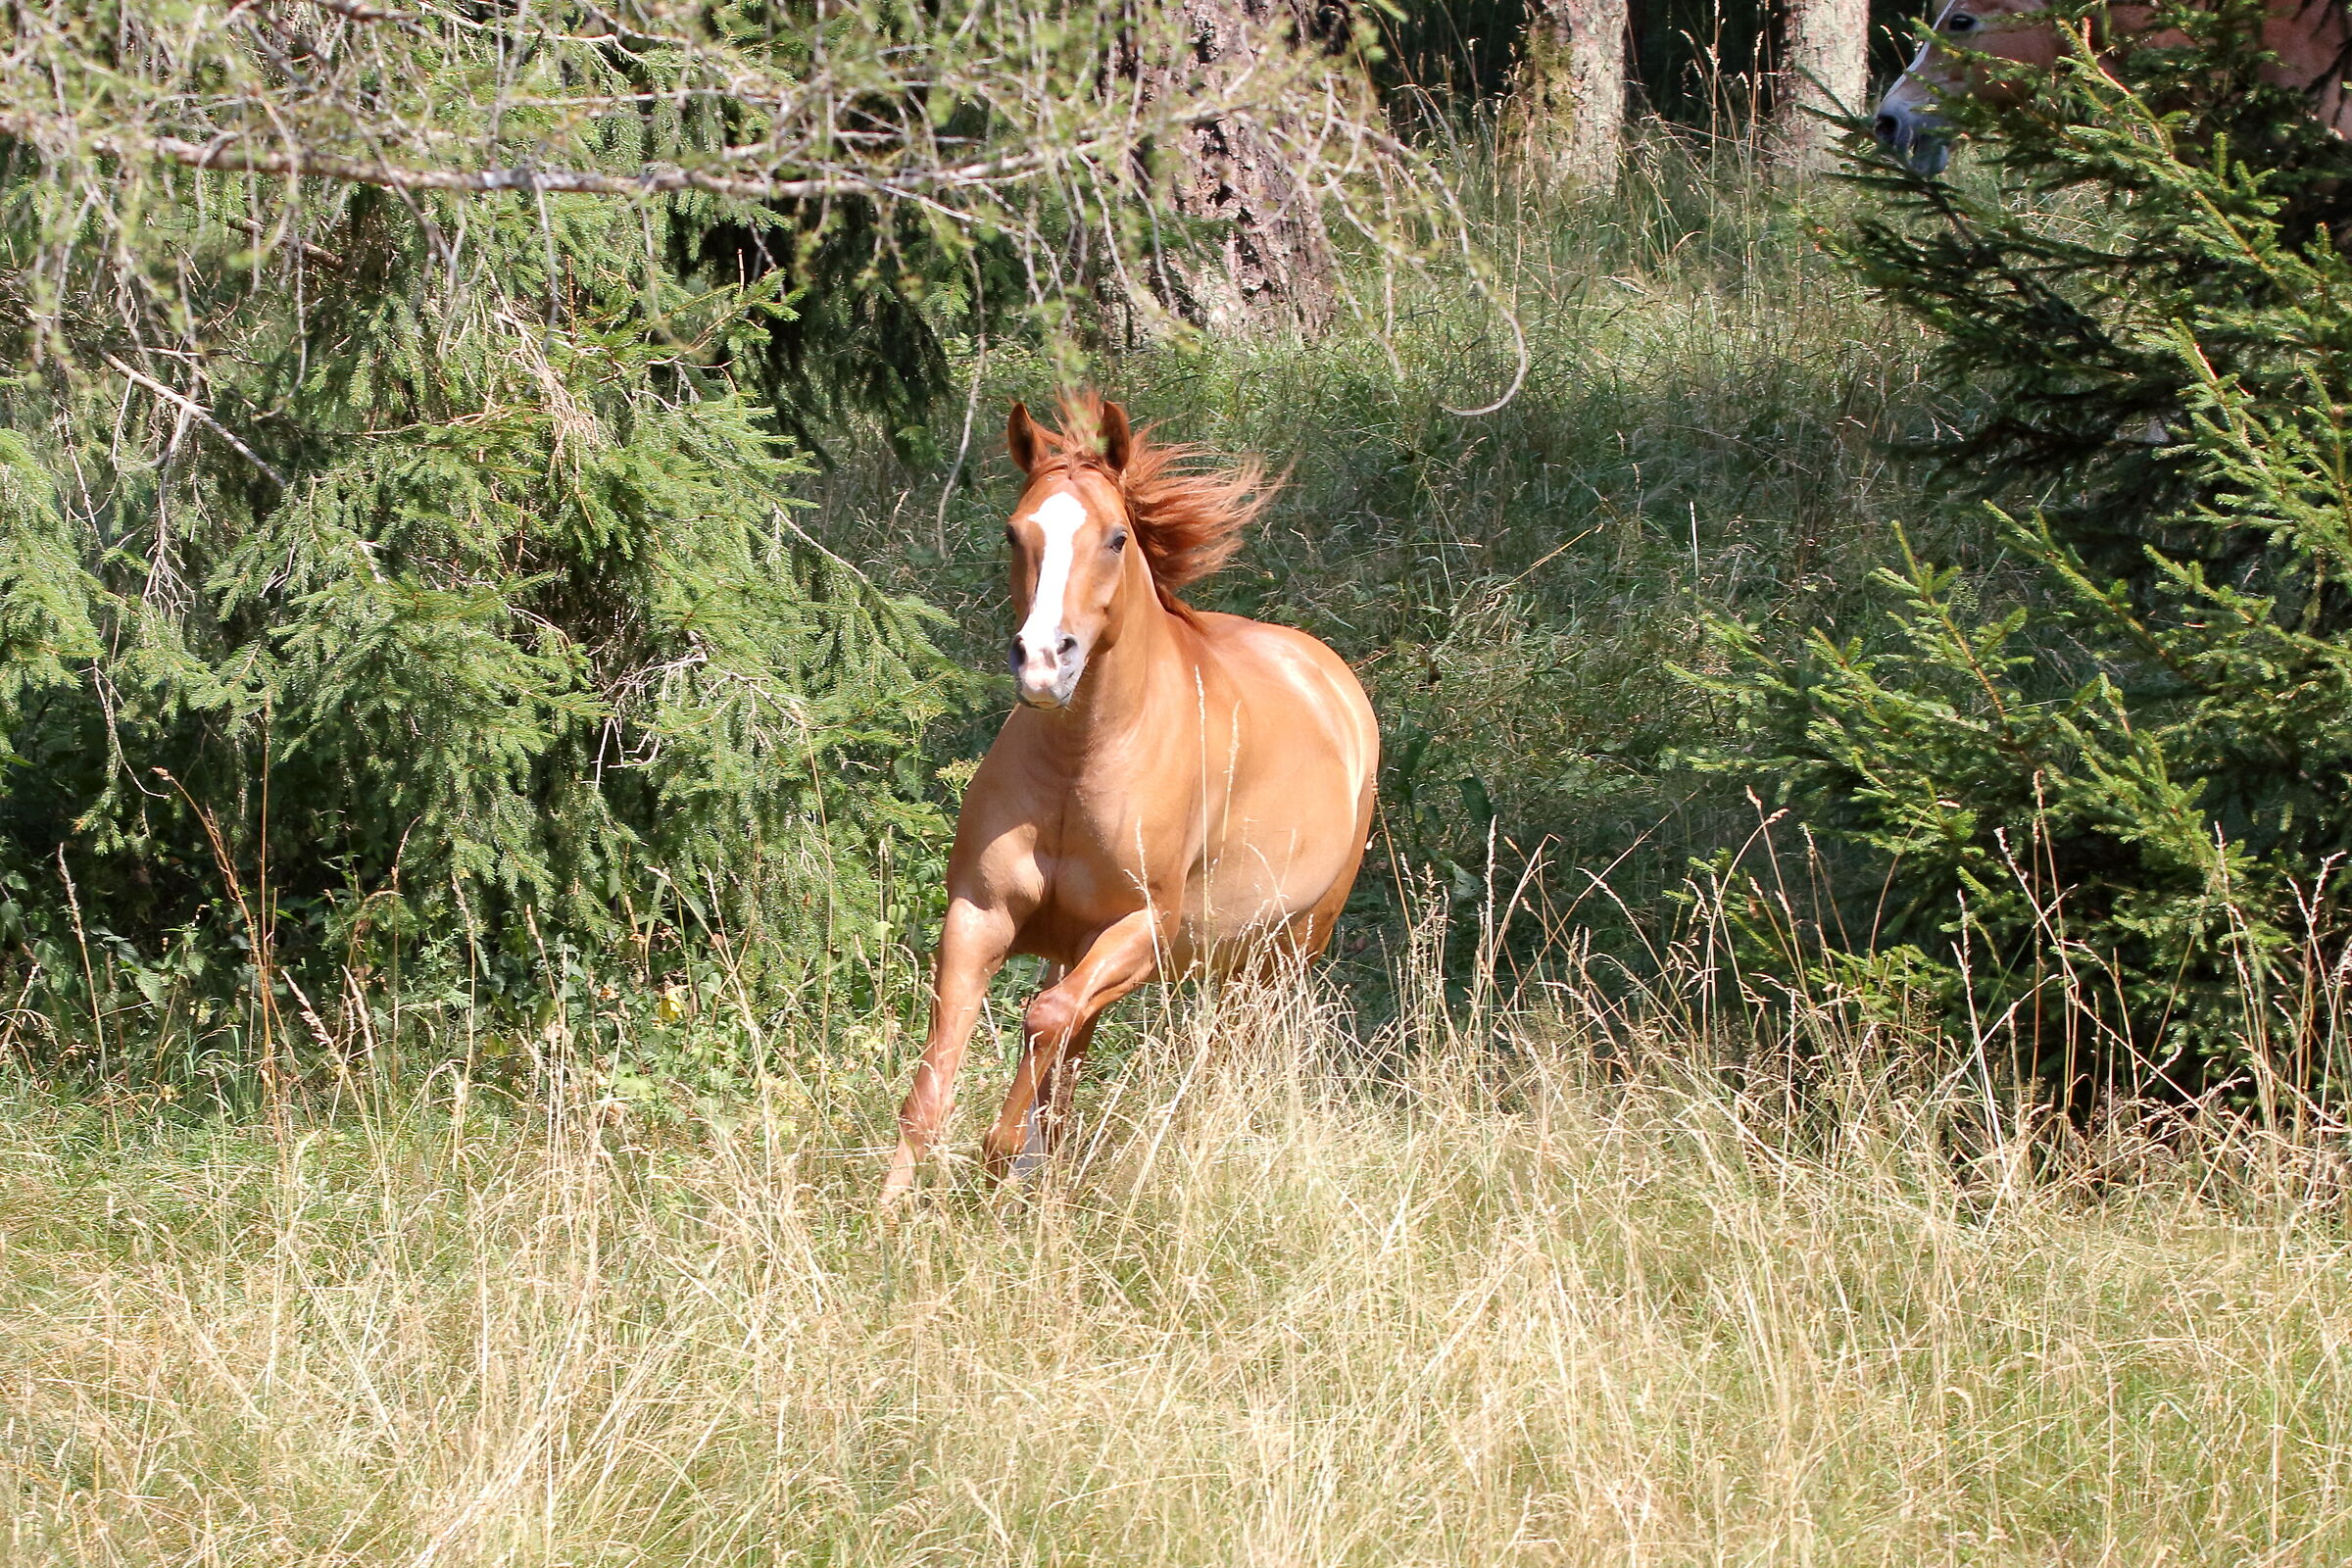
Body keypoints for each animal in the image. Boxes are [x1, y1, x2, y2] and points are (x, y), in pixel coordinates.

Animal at [880, 394, 1379, 1199]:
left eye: (1116, 537)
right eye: (1014, 532)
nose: (1043, 662)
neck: (1078, 767)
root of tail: (1329, 676)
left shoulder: (1141, 931)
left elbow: (1043, 1020)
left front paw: (999, 1150)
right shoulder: (981, 918)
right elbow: (933, 1089)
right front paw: (892, 1217)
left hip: (1281, 953)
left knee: (1217, 1056)